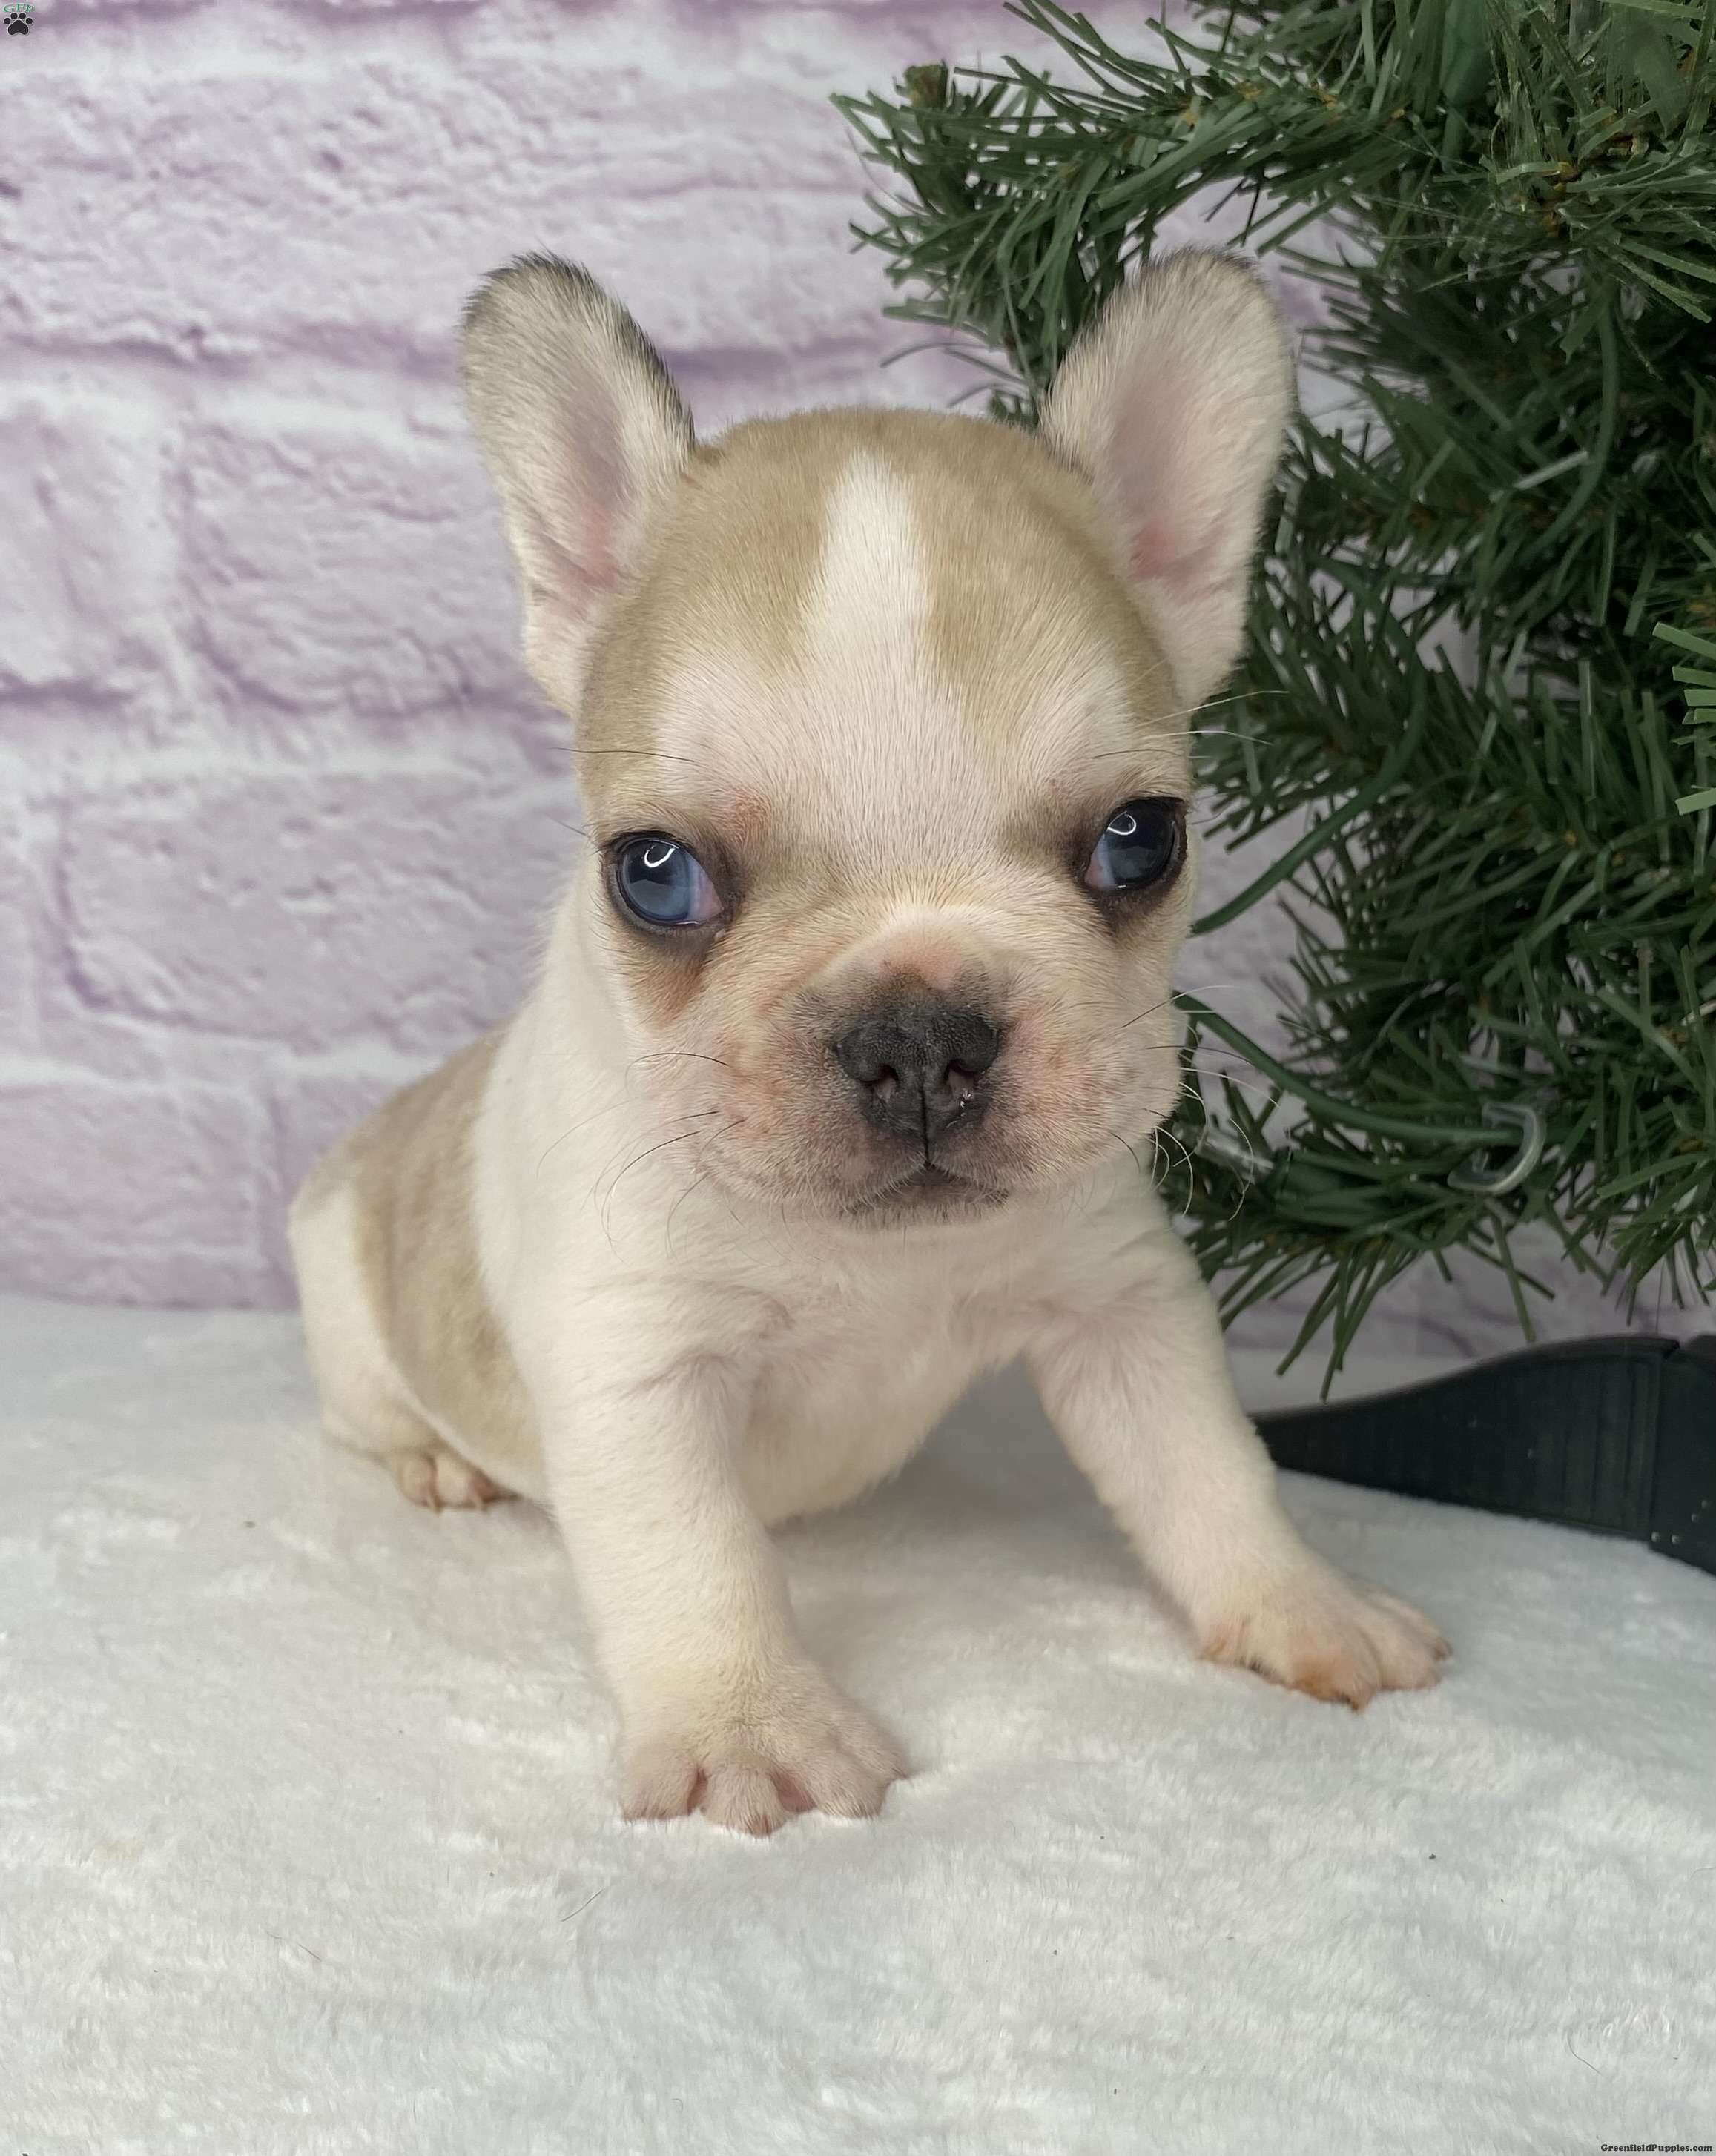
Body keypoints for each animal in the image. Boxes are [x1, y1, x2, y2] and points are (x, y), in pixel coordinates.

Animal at [289, 250, 1448, 1837]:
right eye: (655, 875)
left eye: (1137, 841)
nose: (916, 1031)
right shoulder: (632, 1363)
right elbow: (693, 1554)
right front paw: (750, 1722)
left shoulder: (1123, 1305)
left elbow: (1209, 1469)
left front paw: (1298, 1603)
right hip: (343, 1296)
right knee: (368, 1409)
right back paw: (430, 1458)